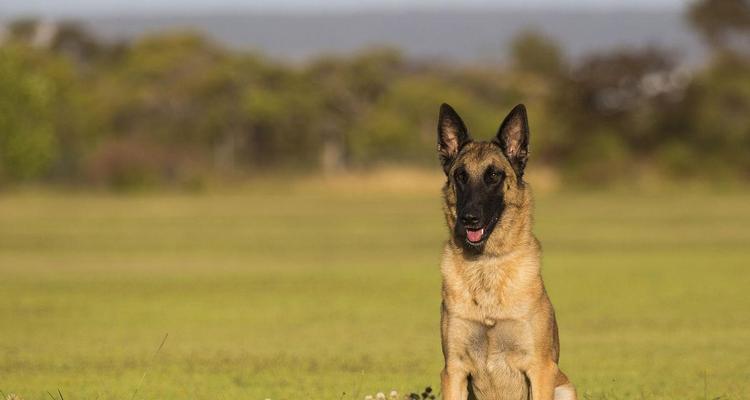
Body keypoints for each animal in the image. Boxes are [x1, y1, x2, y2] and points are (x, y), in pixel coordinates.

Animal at [438, 104, 580, 400]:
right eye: (460, 176)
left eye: (494, 175)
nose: (469, 218)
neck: (486, 264)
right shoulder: (454, 370)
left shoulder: (540, 370)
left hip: (564, 388)